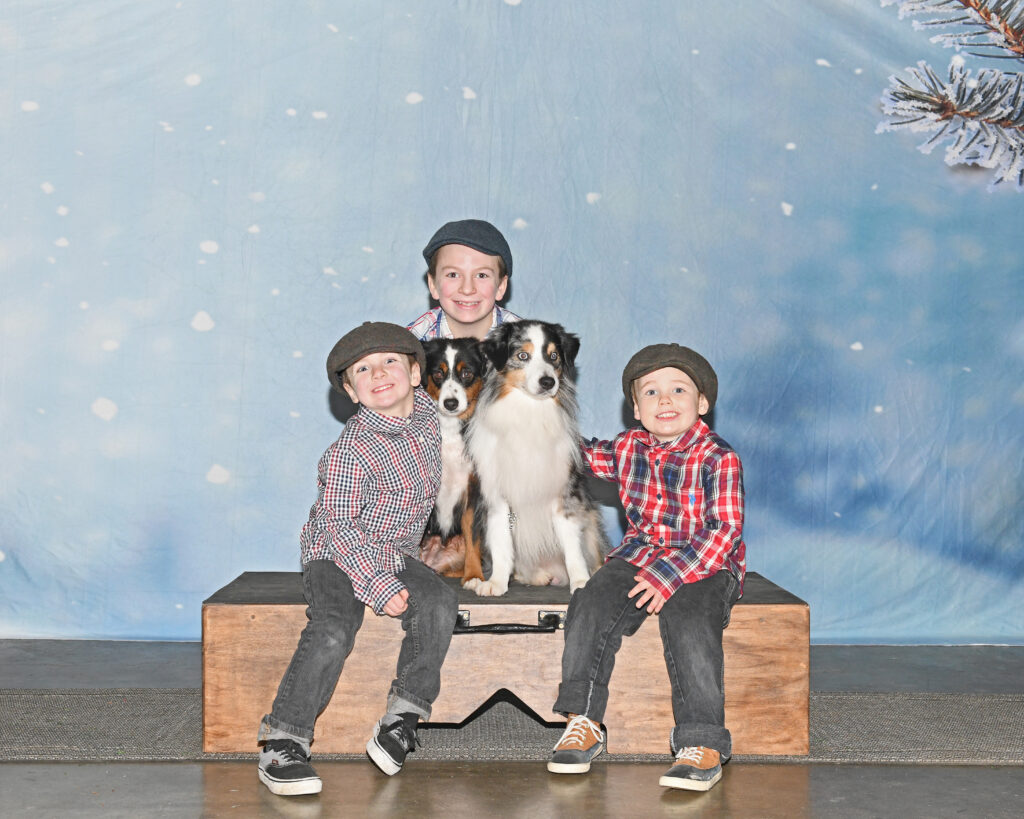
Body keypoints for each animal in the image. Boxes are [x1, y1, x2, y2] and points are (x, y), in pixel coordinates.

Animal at [420, 337, 487, 584]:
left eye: (466, 373)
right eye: (438, 373)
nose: (450, 403)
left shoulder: (474, 490)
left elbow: (473, 536)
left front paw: (474, 575)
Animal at [464, 320, 608, 597]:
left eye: (553, 356)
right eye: (523, 356)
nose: (548, 382)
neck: (529, 411)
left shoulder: (564, 494)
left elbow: (572, 547)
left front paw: (580, 581)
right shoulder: (497, 497)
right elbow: (502, 544)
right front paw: (497, 583)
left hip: (591, 518)